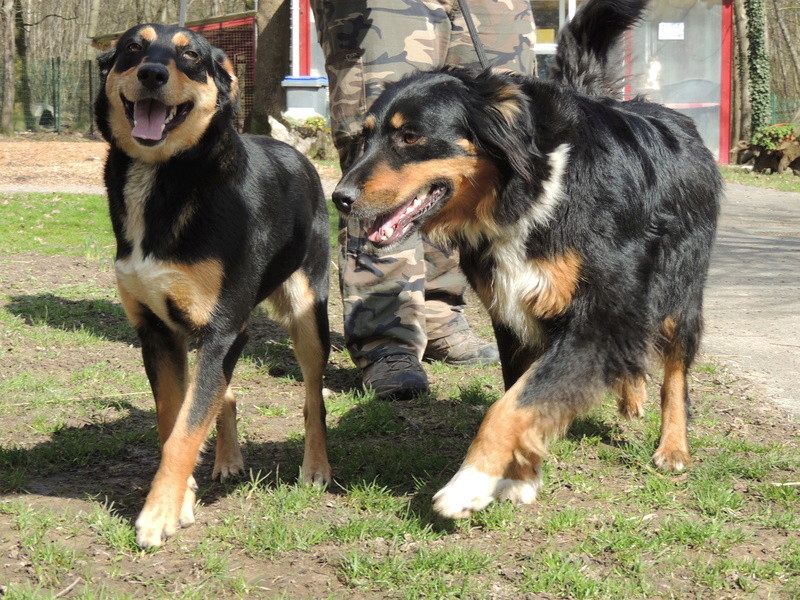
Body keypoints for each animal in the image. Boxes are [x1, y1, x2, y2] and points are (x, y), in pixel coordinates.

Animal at [96, 23, 332, 548]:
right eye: (133, 48)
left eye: (191, 57)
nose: (152, 73)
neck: (164, 175)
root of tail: (298, 154)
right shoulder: (160, 333)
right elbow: (175, 423)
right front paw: (181, 500)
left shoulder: (219, 328)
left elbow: (185, 431)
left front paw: (157, 515)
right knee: (226, 393)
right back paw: (227, 460)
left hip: (308, 315)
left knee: (314, 398)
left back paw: (317, 467)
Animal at [328, 0, 720, 516]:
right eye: (365, 138)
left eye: (410, 137)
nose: (340, 197)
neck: (531, 189)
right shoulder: (514, 310)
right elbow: (523, 393)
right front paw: (518, 476)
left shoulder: (598, 315)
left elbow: (513, 405)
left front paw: (470, 483)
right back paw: (629, 395)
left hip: (680, 287)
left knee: (674, 371)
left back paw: (673, 446)